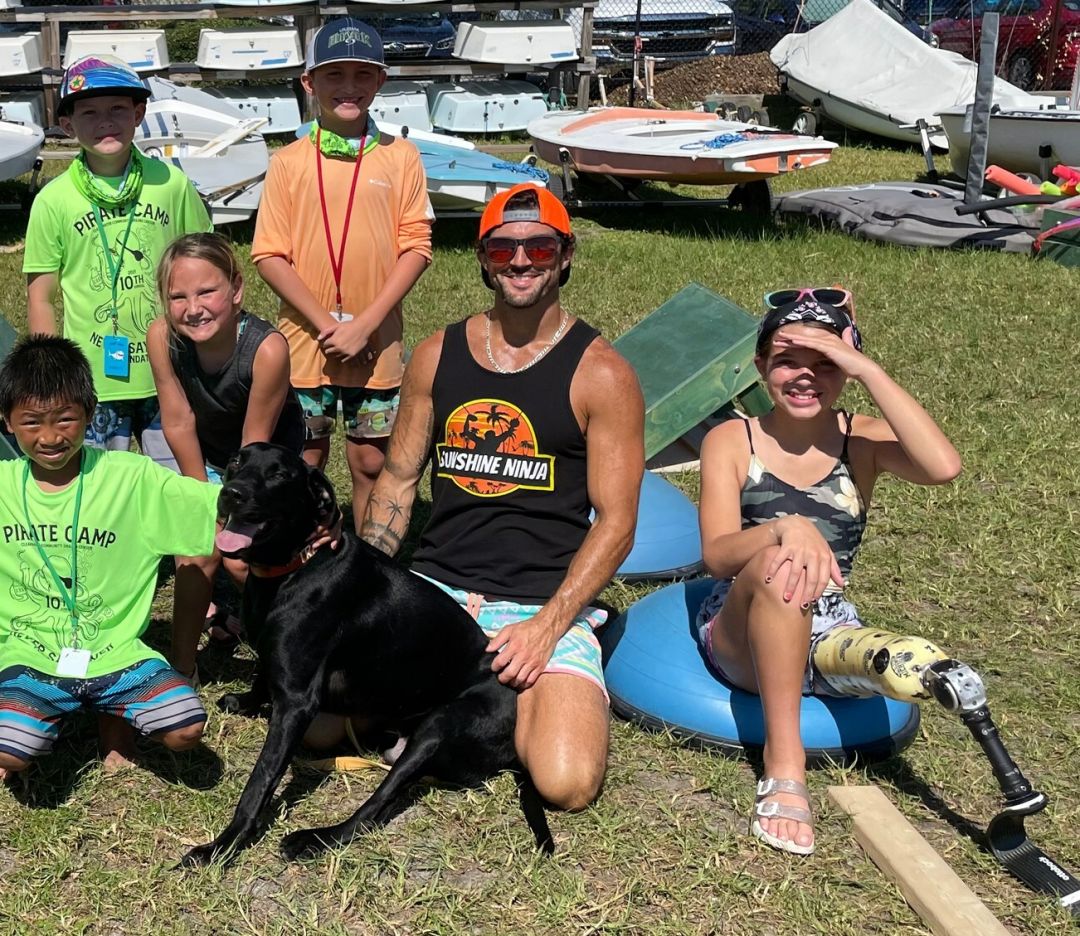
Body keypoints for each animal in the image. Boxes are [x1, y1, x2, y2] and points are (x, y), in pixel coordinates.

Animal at [182, 442, 552, 867]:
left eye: (279, 475)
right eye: (236, 462)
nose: (232, 494)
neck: (297, 565)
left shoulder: (297, 704)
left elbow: (260, 782)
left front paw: (223, 845)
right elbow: (262, 672)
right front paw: (246, 701)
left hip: (437, 728)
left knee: (374, 808)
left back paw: (315, 838)